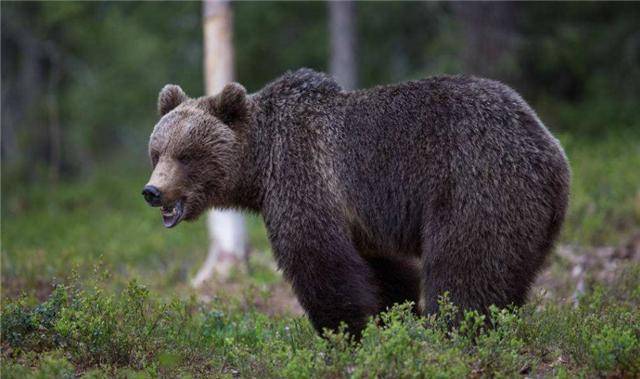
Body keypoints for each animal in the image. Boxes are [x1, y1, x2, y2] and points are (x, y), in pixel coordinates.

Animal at [144, 68, 568, 336]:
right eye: (157, 152)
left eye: (186, 155)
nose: (152, 191)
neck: (259, 167)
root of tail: (549, 148)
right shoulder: (364, 223)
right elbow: (384, 271)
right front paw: (395, 318)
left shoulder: (306, 177)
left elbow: (319, 262)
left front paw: (344, 334)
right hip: (526, 213)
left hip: (477, 182)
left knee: (465, 268)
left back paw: (454, 331)